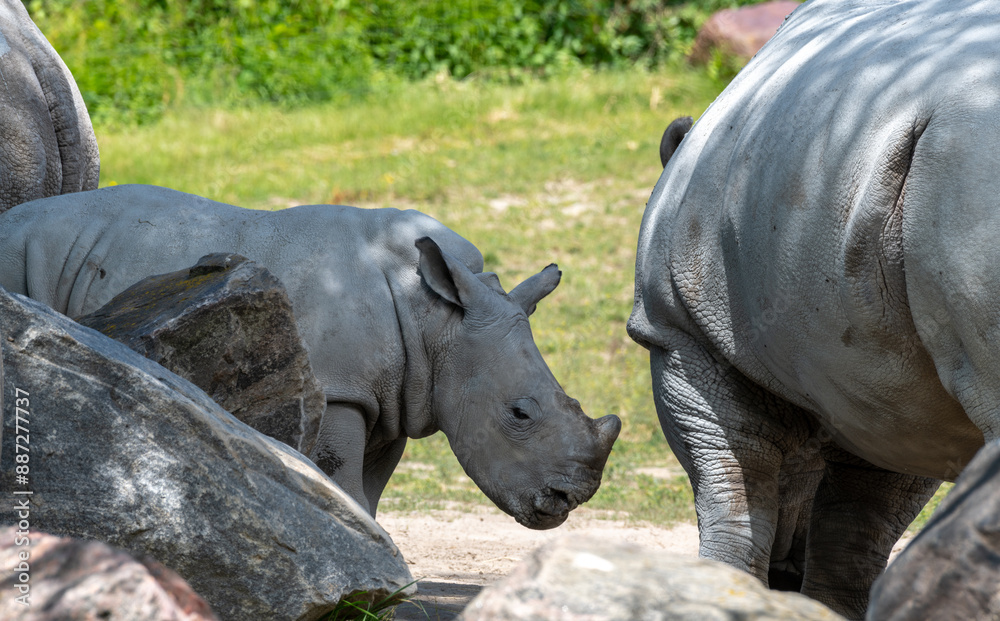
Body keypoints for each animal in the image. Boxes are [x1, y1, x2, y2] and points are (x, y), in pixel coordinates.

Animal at [0, 183, 620, 529]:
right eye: (519, 413)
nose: (567, 500)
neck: (438, 319)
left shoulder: (395, 395)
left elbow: (370, 492)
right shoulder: (339, 390)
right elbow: (343, 483)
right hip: (18, 254)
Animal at [629, 0, 1000, 617]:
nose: (784, 570)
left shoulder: (681, 336)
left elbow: (735, 497)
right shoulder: (889, 392)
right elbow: (857, 529)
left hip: (968, 175)